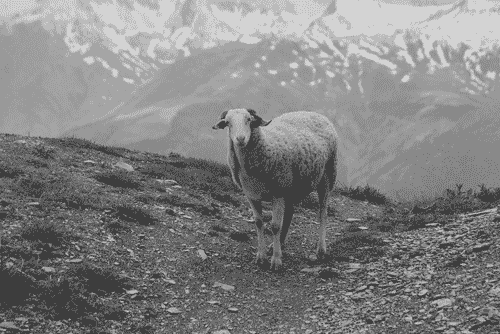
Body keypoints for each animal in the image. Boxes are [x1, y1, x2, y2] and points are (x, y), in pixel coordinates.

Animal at [213, 108, 338, 270]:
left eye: (249, 119)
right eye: (228, 123)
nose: (240, 139)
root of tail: (316, 113)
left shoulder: (278, 193)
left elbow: (275, 226)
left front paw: (276, 260)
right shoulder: (251, 195)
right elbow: (259, 223)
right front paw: (261, 256)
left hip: (327, 176)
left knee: (323, 214)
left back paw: (321, 250)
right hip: (290, 187)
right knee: (290, 213)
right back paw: (279, 244)